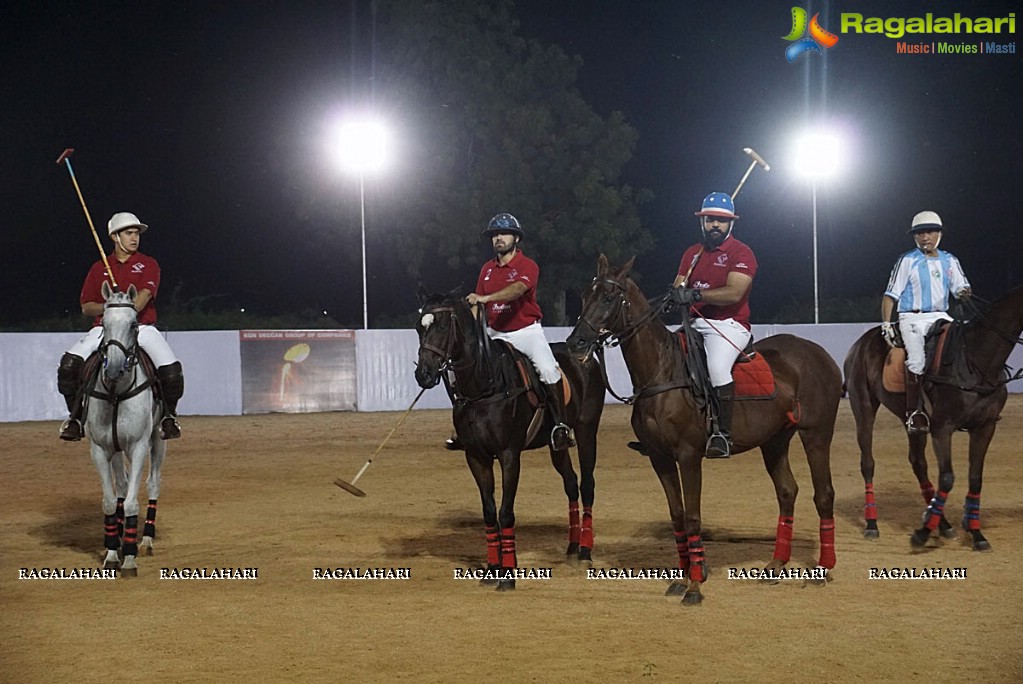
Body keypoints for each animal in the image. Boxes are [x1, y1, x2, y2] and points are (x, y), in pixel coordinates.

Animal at [83, 282, 166, 576]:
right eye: (104, 323)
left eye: (133, 324)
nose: (114, 370)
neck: (117, 393)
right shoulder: (99, 449)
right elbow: (110, 500)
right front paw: (111, 552)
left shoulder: (139, 446)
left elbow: (131, 501)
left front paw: (129, 557)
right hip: (116, 448)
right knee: (121, 483)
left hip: (158, 438)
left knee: (153, 483)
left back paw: (146, 540)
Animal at [413, 286, 605, 588]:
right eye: (418, 328)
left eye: (442, 326)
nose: (424, 374)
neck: (485, 385)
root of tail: (584, 356)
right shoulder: (476, 456)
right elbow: (489, 511)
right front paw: (492, 568)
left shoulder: (509, 455)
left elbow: (505, 511)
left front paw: (508, 574)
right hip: (557, 446)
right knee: (571, 483)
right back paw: (572, 547)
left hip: (587, 431)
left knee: (587, 484)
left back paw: (585, 551)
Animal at [564, 254, 842, 601]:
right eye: (583, 296)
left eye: (608, 297)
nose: (575, 342)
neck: (660, 372)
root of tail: (821, 353)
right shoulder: (660, 457)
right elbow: (678, 516)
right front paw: (683, 577)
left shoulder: (688, 454)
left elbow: (693, 517)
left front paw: (695, 586)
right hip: (775, 439)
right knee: (787, 491)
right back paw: (776, 565)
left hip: (816, 433)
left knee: (824, 494)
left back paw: (824, 568)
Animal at [842, 286, 1018, 552]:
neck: (978, 361)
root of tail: (861, 342)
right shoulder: (942, 427)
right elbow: (947, 478)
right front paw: (922, 533)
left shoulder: (984, 427)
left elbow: (975, 479)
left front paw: (976, 533)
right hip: (863, 407)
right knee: (868, 463)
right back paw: (872, 523)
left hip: (913, 422)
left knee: (918, 463)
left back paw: (942, 523)